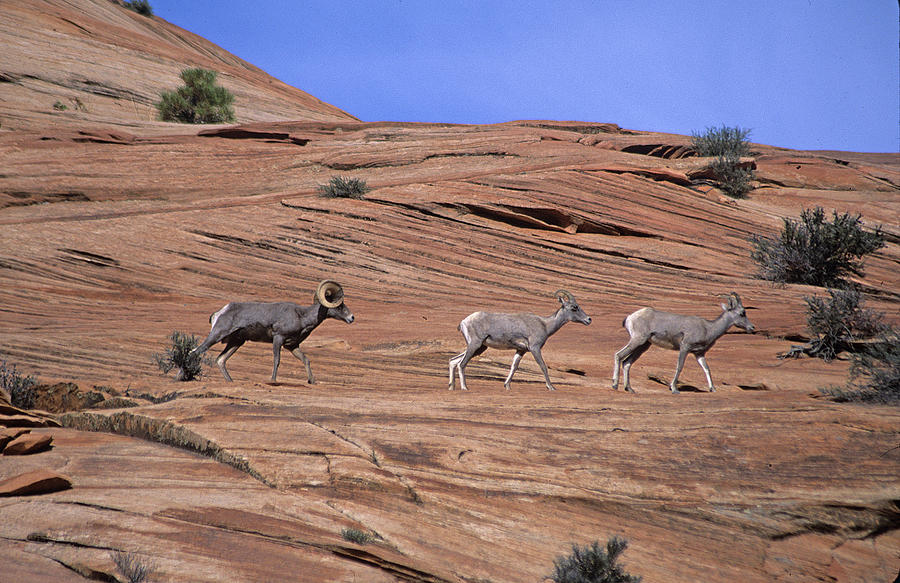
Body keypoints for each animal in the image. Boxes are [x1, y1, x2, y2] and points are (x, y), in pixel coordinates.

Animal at [193, 282, 356, 384]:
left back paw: (230, 381)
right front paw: (273, 380)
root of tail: (219, 313)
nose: (352, 318)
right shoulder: (278, 338)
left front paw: (312, 381)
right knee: (197, 351)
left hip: (236, 342)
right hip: (217, 335)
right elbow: (277, 360)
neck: (301, 316)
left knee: (220, 360)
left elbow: (306, 360)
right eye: (339, 305)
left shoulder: (291, 346)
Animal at [448, 290, 592, 392]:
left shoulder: (520, 350)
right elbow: (543, 366)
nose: (589, 319)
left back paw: (451, 387)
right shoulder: (535, 349)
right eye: (574, 307)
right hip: (474, 345)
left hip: (480, 348)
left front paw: (507, 386)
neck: (545, 325)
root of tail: (464, 322)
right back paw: (465, 388)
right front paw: (551, 387)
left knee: (453, 361)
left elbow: (514, 367)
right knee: (461, 364)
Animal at [612, 294, 752, 394]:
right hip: (637, 340)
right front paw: (674, 389)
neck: (709, 328)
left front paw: (713, 389)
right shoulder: (685, 347)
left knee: (627, 362)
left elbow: (707, 369)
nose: (752, 327)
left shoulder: (699, 354)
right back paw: (614, 385)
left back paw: (630, 389)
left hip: (643, 346)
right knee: (619, 355)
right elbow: (679, 367)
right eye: (742, 313)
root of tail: (630, 317)